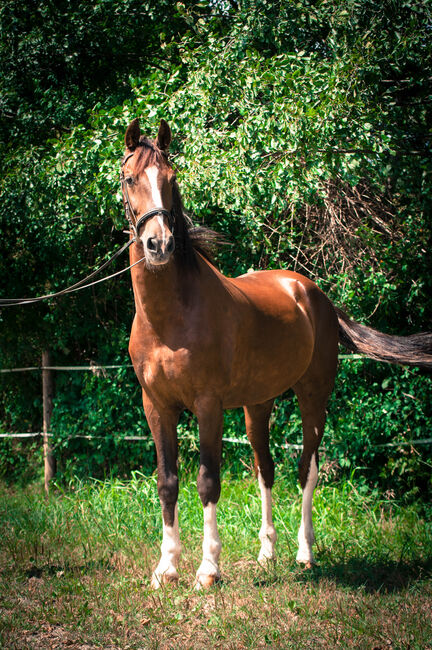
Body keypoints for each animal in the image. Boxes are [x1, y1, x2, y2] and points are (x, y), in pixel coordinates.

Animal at [120, 116, 432, 588]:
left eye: (171, 180)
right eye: (130, 178)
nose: (160, 244)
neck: (169, 319)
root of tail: (315, 294)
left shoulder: (208, 405)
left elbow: (208, 481)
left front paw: (208, 570)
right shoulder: (156, 405)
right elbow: (168, 481)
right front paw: (166, 568)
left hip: (313, 396)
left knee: (306, 469)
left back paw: (305, 552)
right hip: (258, 404)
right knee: (265, 469)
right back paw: (267, 552)